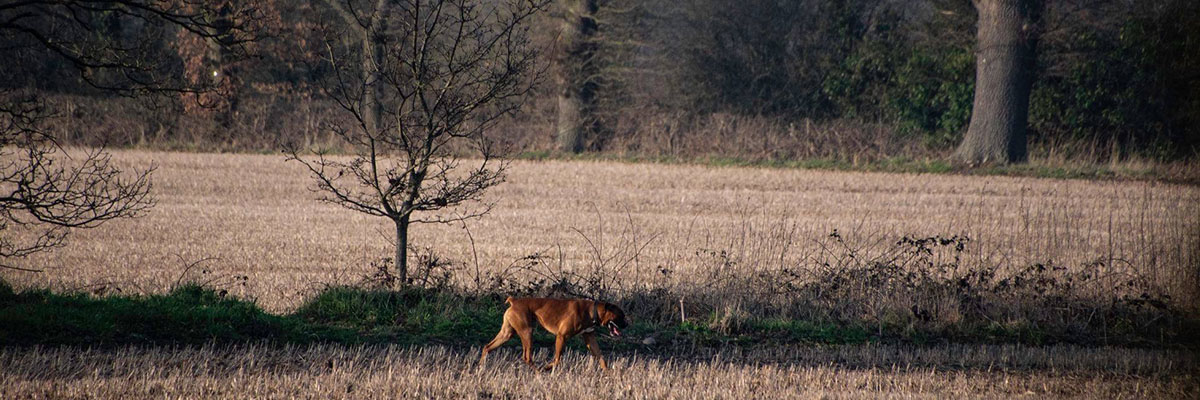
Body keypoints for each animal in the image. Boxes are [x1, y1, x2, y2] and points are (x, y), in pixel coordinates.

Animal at [477, 294, 628, 369]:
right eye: (621, 316)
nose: (627, 324)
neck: (592, 310)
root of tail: (514, 301)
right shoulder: (561, 337)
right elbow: (557, 359)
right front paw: (548, 367)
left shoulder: (590, 339)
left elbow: (601, 358)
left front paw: (609, 375)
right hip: (527, 333)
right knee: (527, 357)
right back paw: (539, 373)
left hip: (507, 334)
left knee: (487, 347)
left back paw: (480, 367)